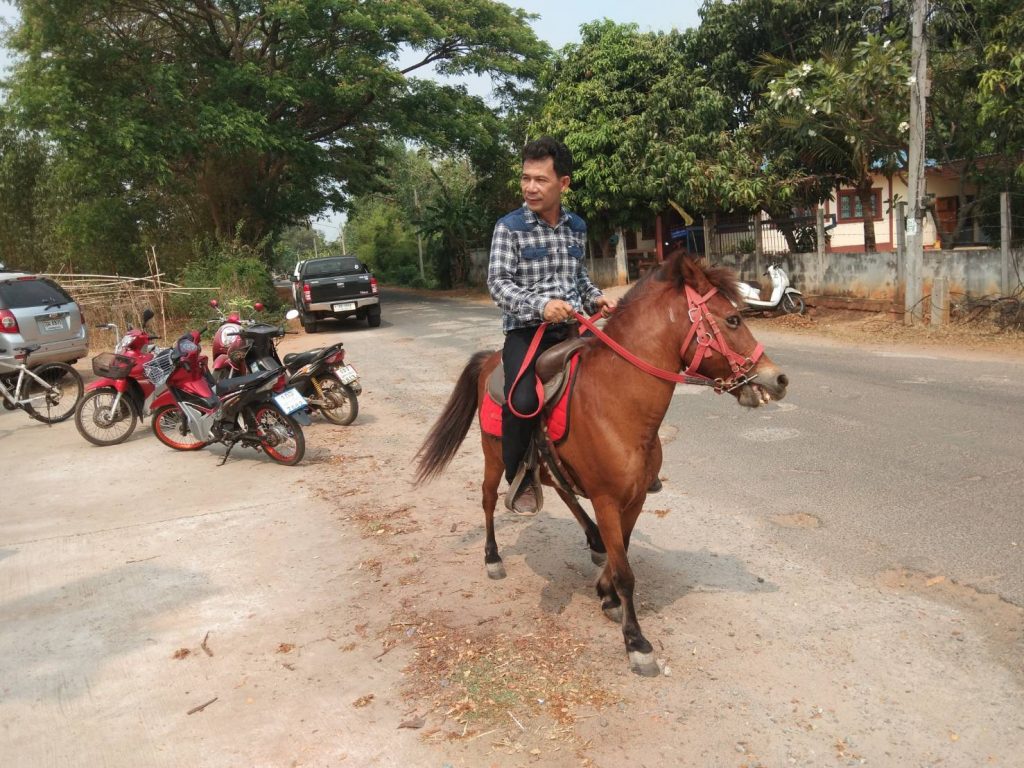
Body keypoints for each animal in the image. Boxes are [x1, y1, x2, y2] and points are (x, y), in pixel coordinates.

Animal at [411, 249, 786, 675]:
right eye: (733, 319)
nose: (778, 379)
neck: (618, 403)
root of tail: (490, 360)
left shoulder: (635, 497)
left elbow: (622, 548)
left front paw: (605, 593)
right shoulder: (607, 499)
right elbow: (626, 573)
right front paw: (636, 641)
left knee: (561, 490)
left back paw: (591, 539)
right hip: (494, 459)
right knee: (490, 499)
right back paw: (493, 557)